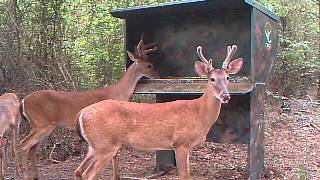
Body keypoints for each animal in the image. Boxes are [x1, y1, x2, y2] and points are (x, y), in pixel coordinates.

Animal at [19, 36, 159, 180]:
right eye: (149, 65)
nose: (158, 75)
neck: (118, 92)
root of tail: (23, 101)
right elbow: (115, 154)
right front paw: (116, 176)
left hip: (44, 127)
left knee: (32, 148)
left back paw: (35, 175)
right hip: (41, 124)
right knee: (23, 145)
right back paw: (24, 175)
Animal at [75, 44, 244, 180]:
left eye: (228, 77)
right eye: (212, 79)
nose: (226, 96)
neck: (198, 113)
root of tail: (81, 113)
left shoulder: (187, 146)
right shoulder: (180, 143)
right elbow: (184, 175)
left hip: (95, 146)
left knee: (79, 171)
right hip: (105, 145)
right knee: (88, 174)